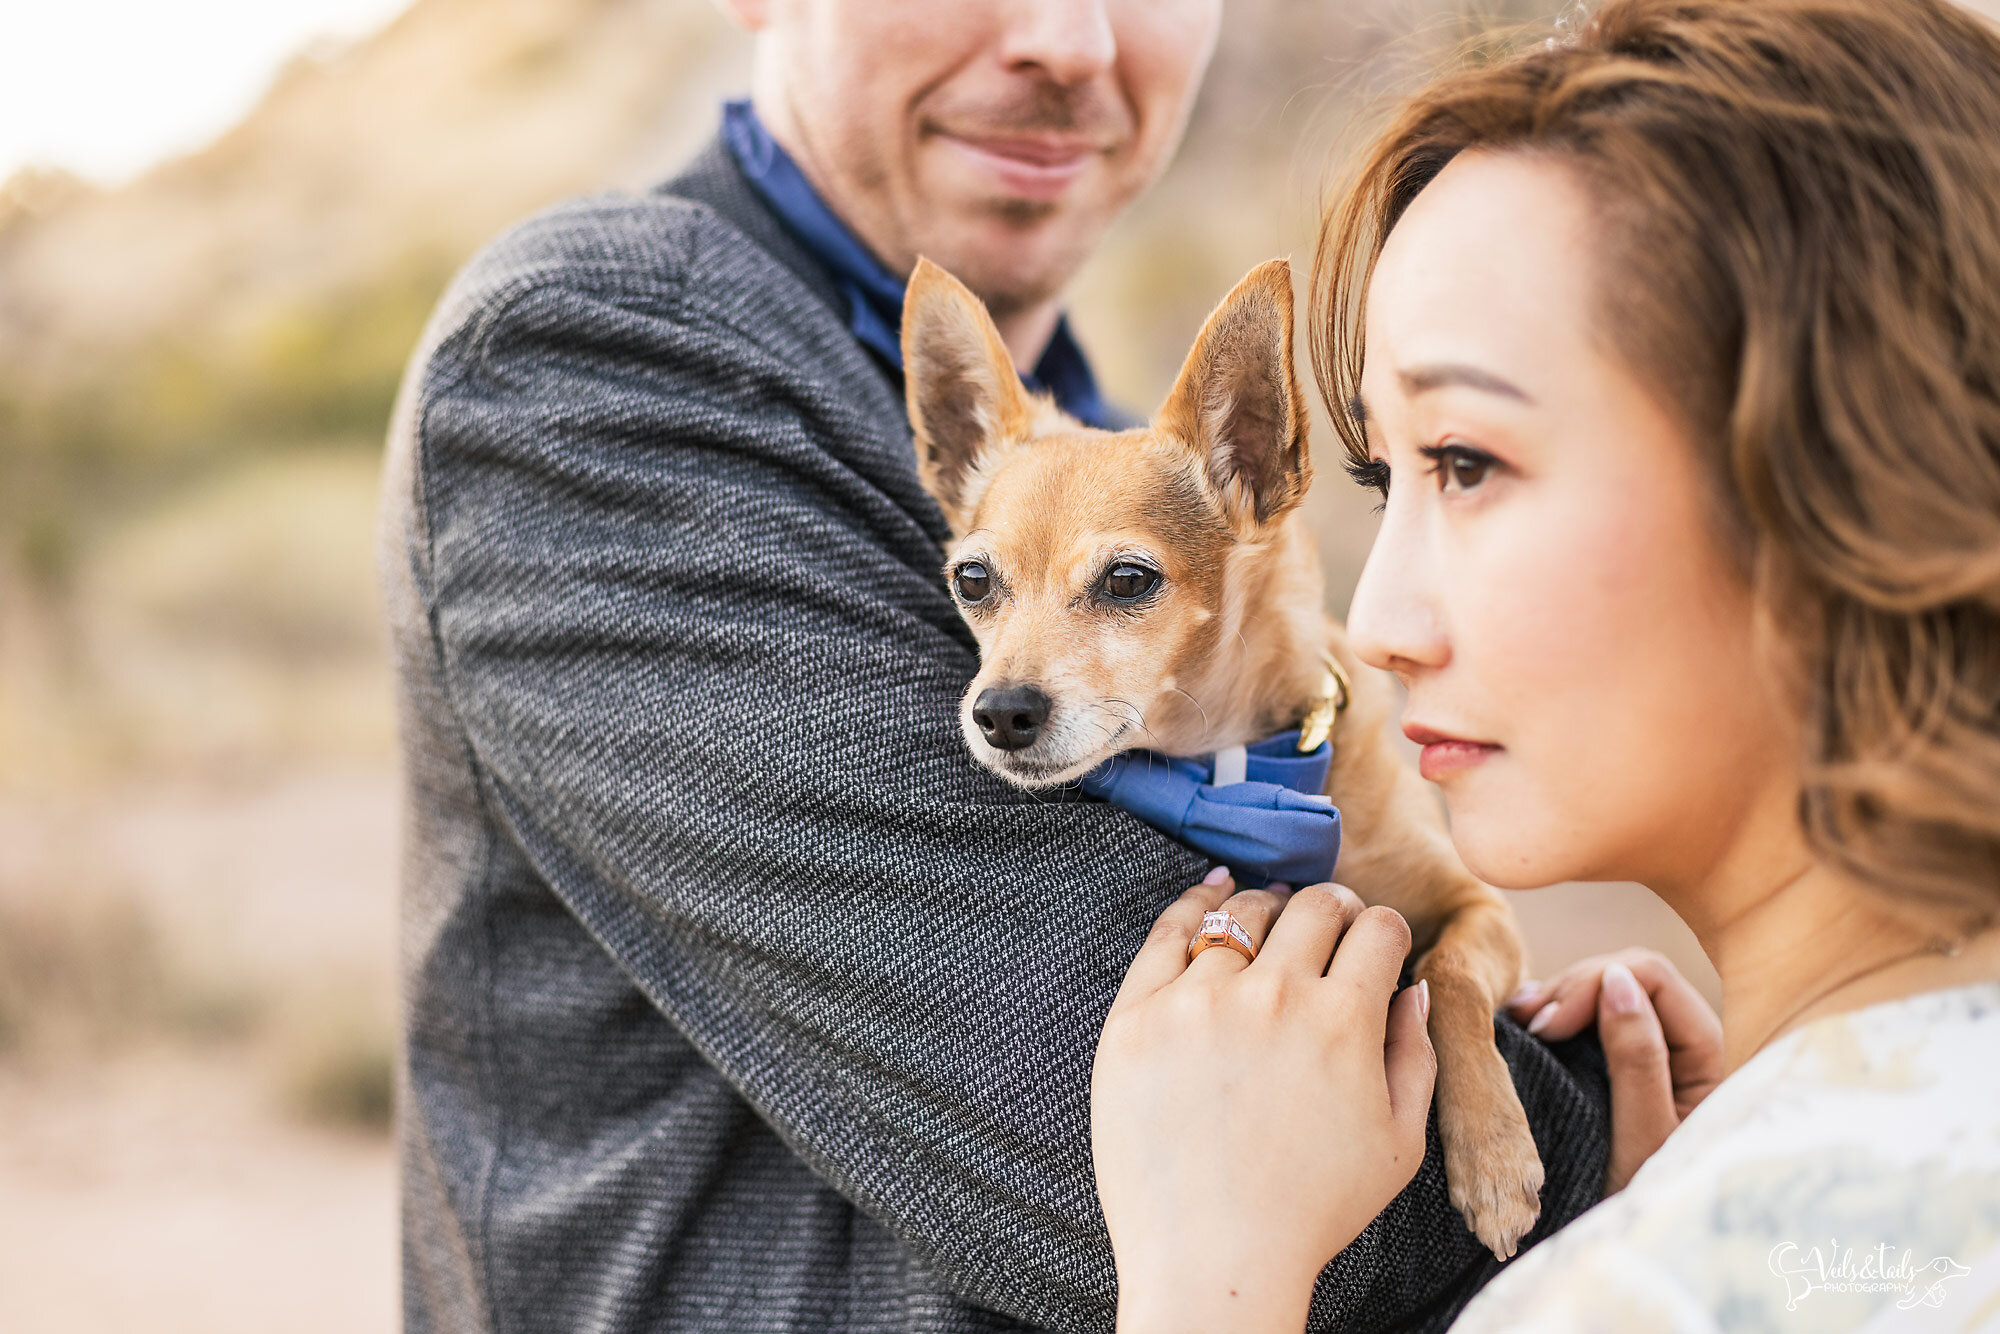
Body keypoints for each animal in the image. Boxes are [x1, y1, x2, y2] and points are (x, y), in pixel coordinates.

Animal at [908, 253, 1544, 1264]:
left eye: (1128, 581)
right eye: (973, 580)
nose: (1000, 710)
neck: (1235, 764)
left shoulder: (1481, 909)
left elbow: (1447, 974)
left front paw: (1492, 1152)